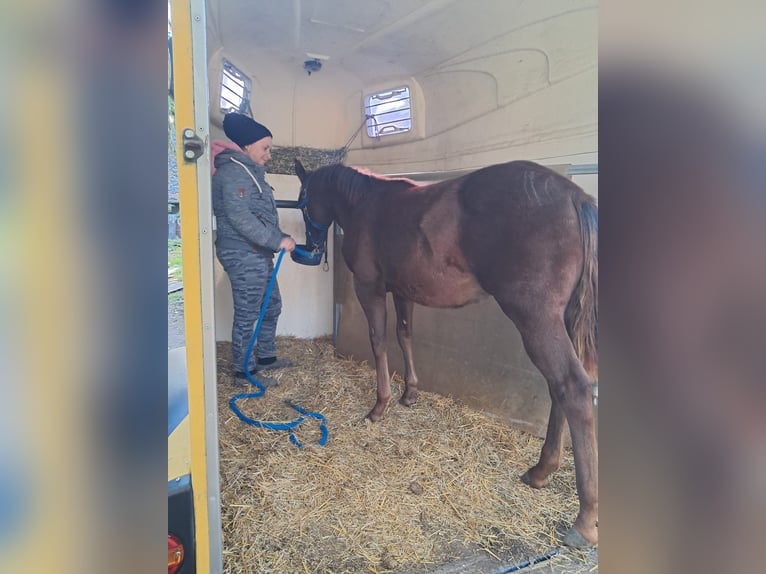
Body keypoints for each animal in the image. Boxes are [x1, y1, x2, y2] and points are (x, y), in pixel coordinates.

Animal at [294, 158, 598, 547]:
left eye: (303, 203)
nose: (311, 246)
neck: (366, 203)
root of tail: (575, 196)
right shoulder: (402, 290)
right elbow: (404, 335)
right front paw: (410, 393)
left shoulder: (369, 287)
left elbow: (378, 340)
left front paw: (380, 406)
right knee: (559, 390)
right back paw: (541, 470)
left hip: (537, 318)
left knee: (571, 387)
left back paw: (584, 519)